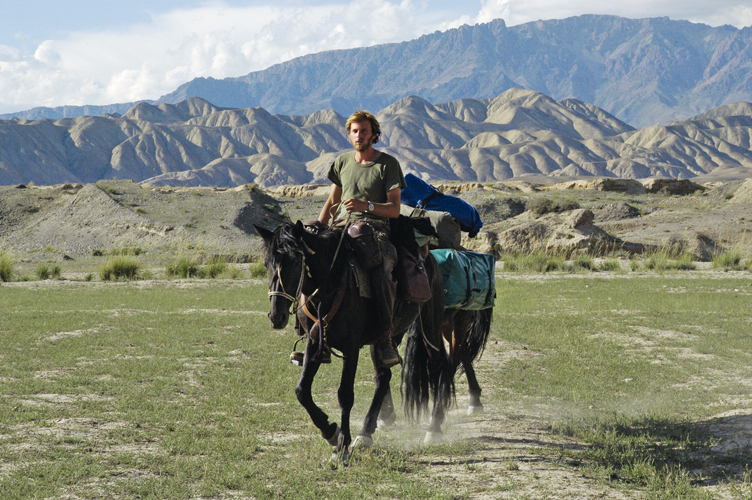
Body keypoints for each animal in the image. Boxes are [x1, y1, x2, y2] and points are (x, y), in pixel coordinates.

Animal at [258, 221, 452, 462]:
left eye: (294, 261)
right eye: (266, 263)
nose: (277, 316)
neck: (330, 282)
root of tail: (428, 256)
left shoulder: (351, 347)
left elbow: (345, 395)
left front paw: (342, 446)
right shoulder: (314, 343)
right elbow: (302, 391)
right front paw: (331, 432)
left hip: (431, 325)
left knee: (439, 366)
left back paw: (434, 428)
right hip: (386, 337)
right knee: (383, 376)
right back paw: (366, 432)